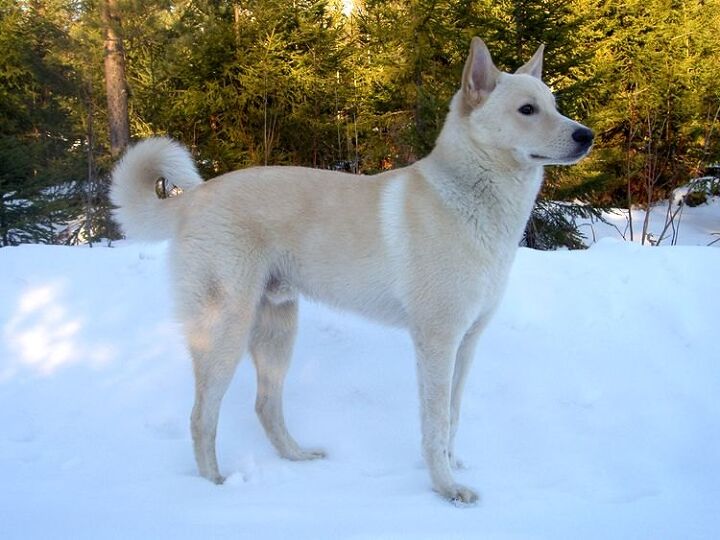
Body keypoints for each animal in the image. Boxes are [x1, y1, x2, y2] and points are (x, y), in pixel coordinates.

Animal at [108, 37, 592, 502]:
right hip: (225, 331)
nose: (586, 135)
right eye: (527, 109)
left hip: (278, 330)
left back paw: (298, 457)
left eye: (554, 104)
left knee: (265, 406)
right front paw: (445, 488)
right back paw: (215, 487)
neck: (468, 197)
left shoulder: (467, 343)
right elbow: (435, 424)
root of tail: (194, 198)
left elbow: (452, 418)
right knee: (201, 417)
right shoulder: (437, 341)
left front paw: (454, 468)